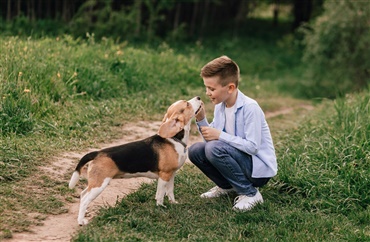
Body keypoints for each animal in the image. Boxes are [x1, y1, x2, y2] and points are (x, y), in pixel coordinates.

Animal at [69, 96, 202, 225]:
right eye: (187, 104)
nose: (199, 97)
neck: (174, 139)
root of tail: (97, 153)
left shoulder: (171, 175)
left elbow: (170, 192)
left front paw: (173, 203)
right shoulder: (164, 176)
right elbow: (160, 195)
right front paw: (161, 208)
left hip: (95, 184)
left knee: (83, 194)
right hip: (99, 184)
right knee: (85, 199)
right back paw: (81, 221)